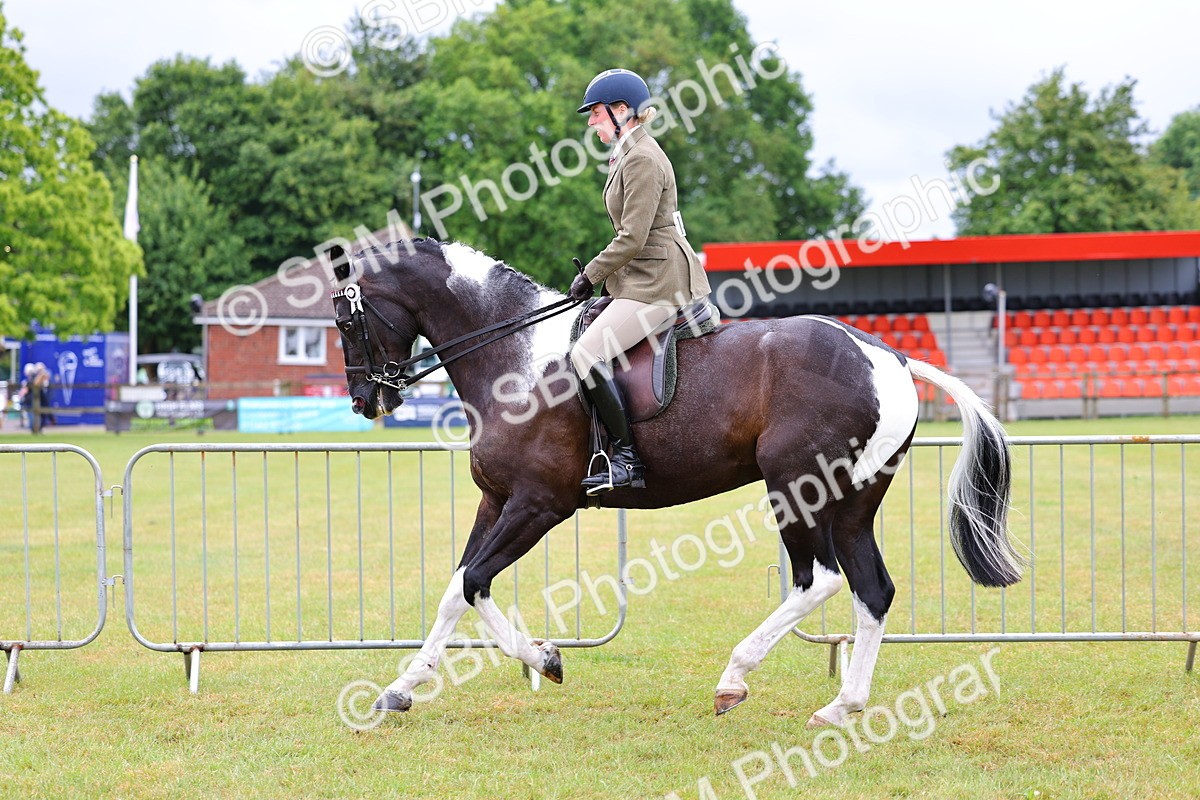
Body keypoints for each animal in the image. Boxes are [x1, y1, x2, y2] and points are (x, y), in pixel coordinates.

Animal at [328, 237, 1023, 726]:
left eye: (345, 322)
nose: (366, 400)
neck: (515, 359)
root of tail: (890, 356)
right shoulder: (495, 499)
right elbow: (457, 590)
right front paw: (400, 689)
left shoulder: (538, 504)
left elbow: (473, 581)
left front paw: (544, 658)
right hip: (852, 502)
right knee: (871, 590)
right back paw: (841, 707)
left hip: (794, 485)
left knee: (819, 579)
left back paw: (734, 678)